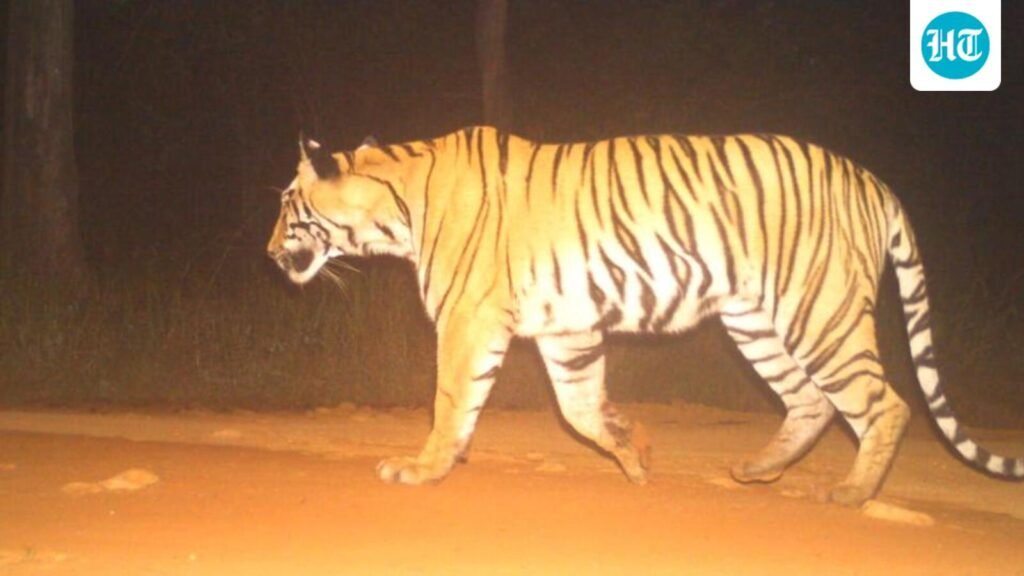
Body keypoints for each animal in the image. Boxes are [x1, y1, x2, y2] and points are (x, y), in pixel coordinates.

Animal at [267, 126, 1023, 506]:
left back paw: (853, 492)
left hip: (820, 311)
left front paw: (420, 471)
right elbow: (580, 410)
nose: (270, 252)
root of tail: (874, 181)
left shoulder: (467, 319)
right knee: (811, 402)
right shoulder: (567, 328)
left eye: (286, 205)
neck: (395, 202)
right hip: (756, 322)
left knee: (883, 402)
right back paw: (758, 472)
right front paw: (637, 455)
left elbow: (451, 403)